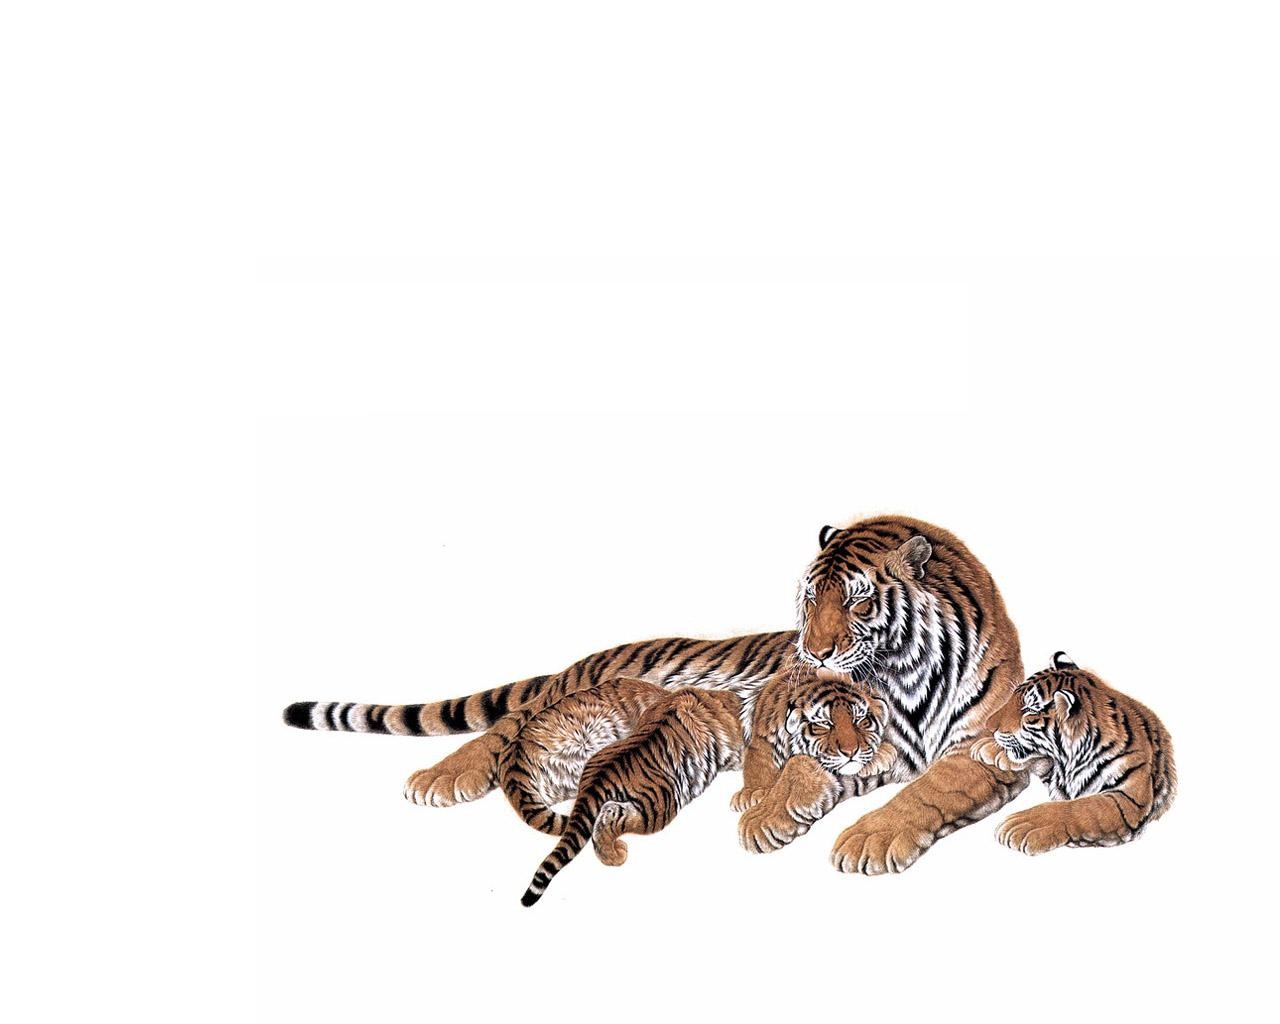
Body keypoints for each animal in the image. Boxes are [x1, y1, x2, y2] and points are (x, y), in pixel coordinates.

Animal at [970, 651, 1176, 854]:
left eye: (1029, 711)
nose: (988, 726)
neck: (1072, 759)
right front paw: (987, 747)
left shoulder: (1128, 800)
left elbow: (1079, 808)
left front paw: (1021, 825)